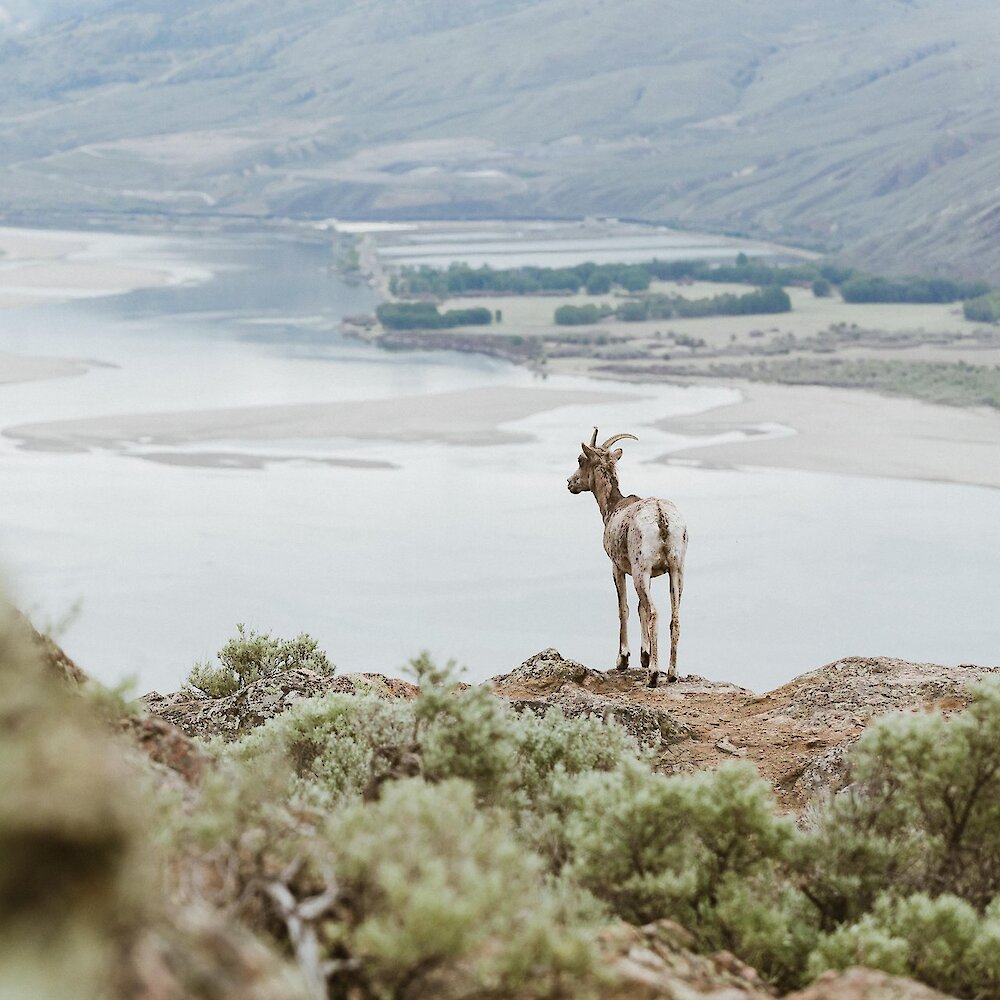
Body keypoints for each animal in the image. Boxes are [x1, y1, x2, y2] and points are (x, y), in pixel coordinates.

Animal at [567, 428, 688, 688]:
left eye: (581, 460)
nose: (569, 483)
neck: (612, 507)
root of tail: (661, 518)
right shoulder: (649, 574)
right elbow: (640, 608)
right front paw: (643, 656)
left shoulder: (618, 568)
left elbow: (625, 608)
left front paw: (623, 660)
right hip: (676, 570)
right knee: (674, 617)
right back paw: (672, 673)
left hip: (642, 572)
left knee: (654, 613)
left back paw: (653, 676)